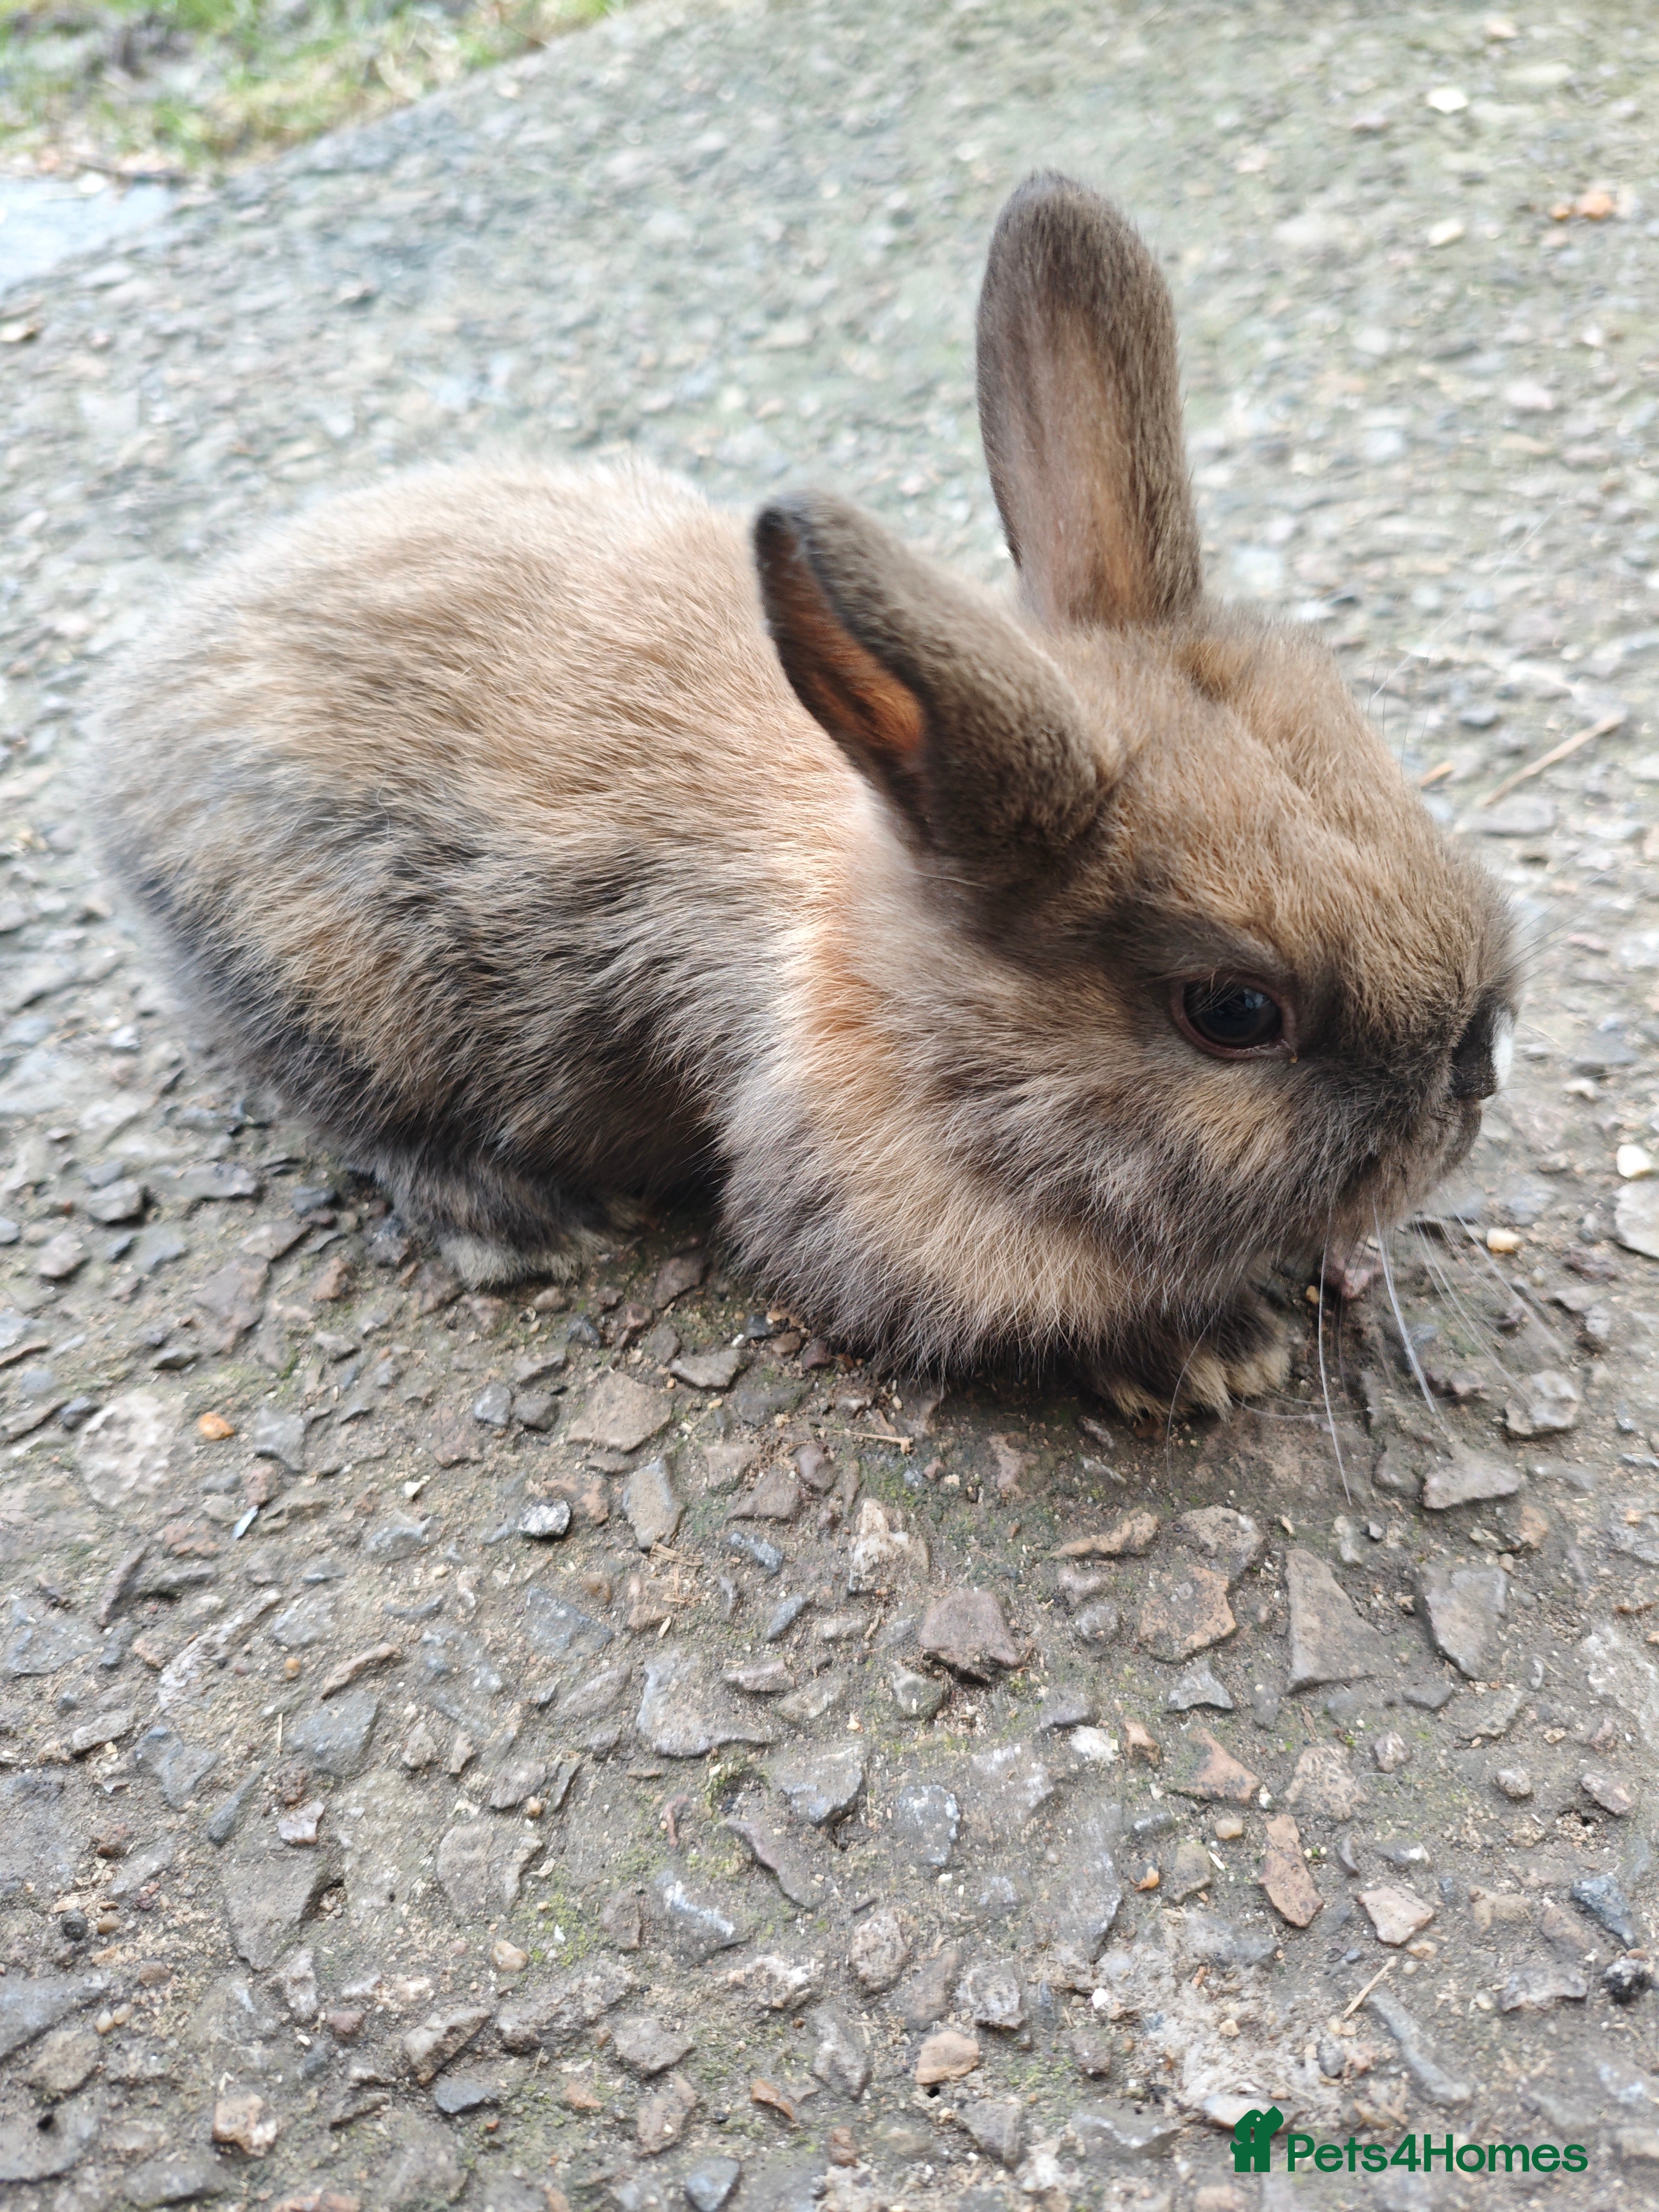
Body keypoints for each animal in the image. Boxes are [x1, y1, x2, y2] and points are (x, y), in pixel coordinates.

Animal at [91, 172, 1517, 1419]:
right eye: (1233, 1012)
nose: (1477, 1061)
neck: (908, 1003)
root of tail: (139, 715)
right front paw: (1211, 1355)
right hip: (329, 976)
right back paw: (525, 1221)